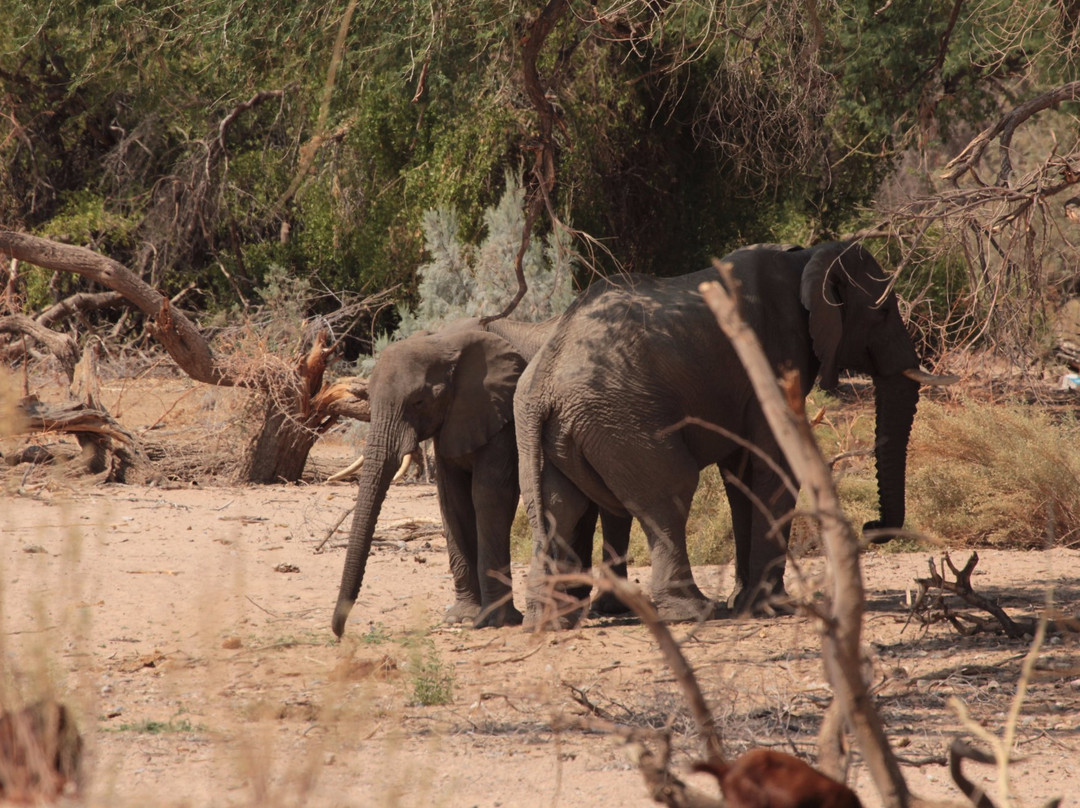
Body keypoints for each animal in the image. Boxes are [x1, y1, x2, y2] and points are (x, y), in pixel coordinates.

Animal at [330, 315, 630, 639]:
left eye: (419, 401)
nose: (340, 632)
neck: (445, 340)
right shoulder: (454, 420)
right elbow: (453, 499)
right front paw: (461, 617)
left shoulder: (503, 412)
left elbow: (490, 496)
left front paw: (497, 620)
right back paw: (576, 606)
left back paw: (606, 608)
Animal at [514, 239, 954, 626]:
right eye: (883, 313)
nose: (870, 527)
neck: (807, 259)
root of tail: (544, 382)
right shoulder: (774, 357)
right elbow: (774, 466)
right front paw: (774, 608)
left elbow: (741, 474)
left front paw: (746, 603)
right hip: (622, 418)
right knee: (668, 495)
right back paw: (693, 612)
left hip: (554, 429)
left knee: (557, 509)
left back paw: (549, 621)